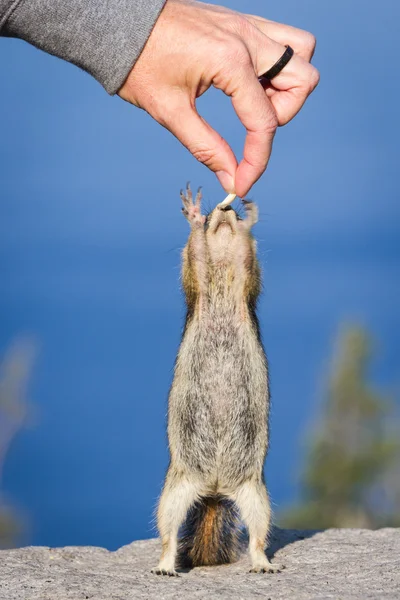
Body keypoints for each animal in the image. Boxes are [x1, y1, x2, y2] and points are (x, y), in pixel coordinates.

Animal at [152, 184, 280, 576]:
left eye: (231, 213)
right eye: (212, 215)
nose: (225, 212)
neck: (222, 271)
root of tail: (215, 487)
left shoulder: (246, 278)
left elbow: (249, 261)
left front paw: (249, 219)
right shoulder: (197, 281)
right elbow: (193, 257)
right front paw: (194, 217)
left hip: (256, 494)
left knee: (258, 534)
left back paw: (262, 563)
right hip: (175, 490)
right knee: (168, 532)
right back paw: (164, 565)